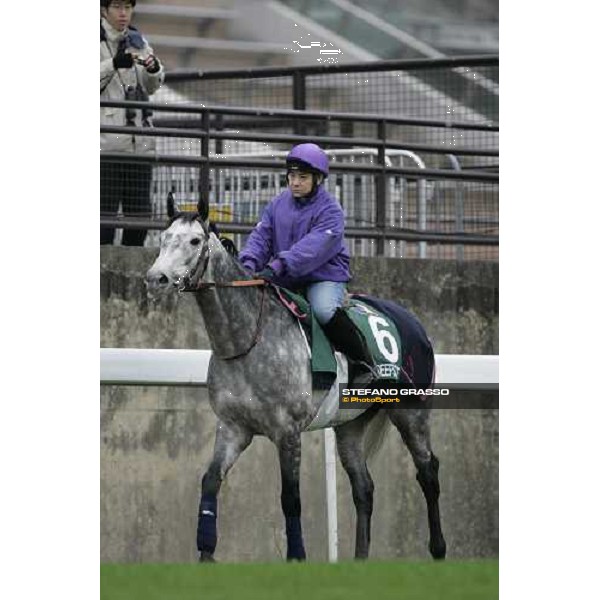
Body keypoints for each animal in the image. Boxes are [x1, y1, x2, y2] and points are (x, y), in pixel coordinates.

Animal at [145, 202, 446, 564]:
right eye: (164, 237)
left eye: (193, 240)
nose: (156, 279)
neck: (249, 339)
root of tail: (414, 322)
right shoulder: (233, 428)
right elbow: (210, 481)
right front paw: (205, 552)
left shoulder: (287, 431)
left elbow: (290, 497)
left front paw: (296, 557)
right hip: (350, 425)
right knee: (364, 487)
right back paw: (360, 558)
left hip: (411, 413)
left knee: (428, 471)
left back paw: (439, 550)